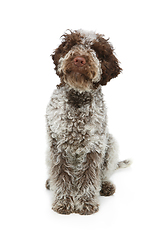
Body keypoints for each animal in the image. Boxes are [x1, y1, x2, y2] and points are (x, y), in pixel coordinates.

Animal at [45, 29, 131, 215]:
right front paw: (64, 202)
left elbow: (89, 176)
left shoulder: (95, 146)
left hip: (110, 144)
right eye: (72, 45)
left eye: (97, 50)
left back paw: (105, 185)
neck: (77, 99)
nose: (79, 59)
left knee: (102, 174)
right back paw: (50, 183)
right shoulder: (57, 146)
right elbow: (61, 175)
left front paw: (86, 203)